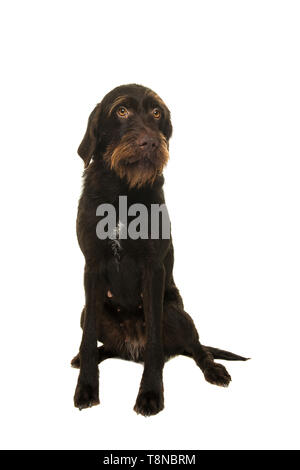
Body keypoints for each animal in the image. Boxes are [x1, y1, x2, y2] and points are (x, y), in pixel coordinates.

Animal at [71, 83, 248, 414]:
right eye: (121, 110)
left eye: (156, 113)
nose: (151, 142)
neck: (122, 192)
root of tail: (131, 348)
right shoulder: (93, 266)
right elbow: (87, 340)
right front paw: (86, 387)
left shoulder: (153, 270)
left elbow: (156, 343)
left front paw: (150, 393)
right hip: (89, 310)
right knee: (105, 346)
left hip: (175, 313)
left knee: (197, 347)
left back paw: (214, 369)